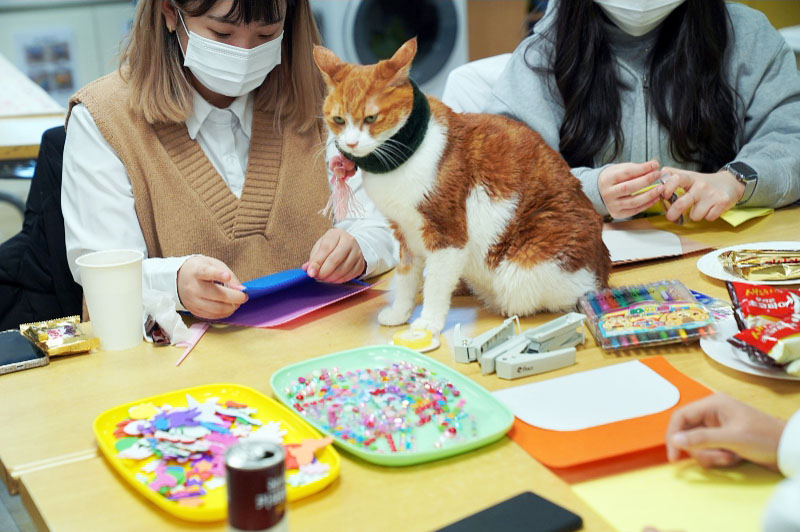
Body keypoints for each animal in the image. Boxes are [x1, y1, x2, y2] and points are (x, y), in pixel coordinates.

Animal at [314, 39, 612, 334]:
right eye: (338, 120)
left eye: (371, 118)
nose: (350, 143)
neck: (401, 157)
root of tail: (603, 267)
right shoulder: (404, 232)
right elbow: (406, 278)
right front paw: (400, 313)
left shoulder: (447, 235)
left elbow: (435, 284)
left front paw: (429, 324)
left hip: (526, 264)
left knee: (562, 296)